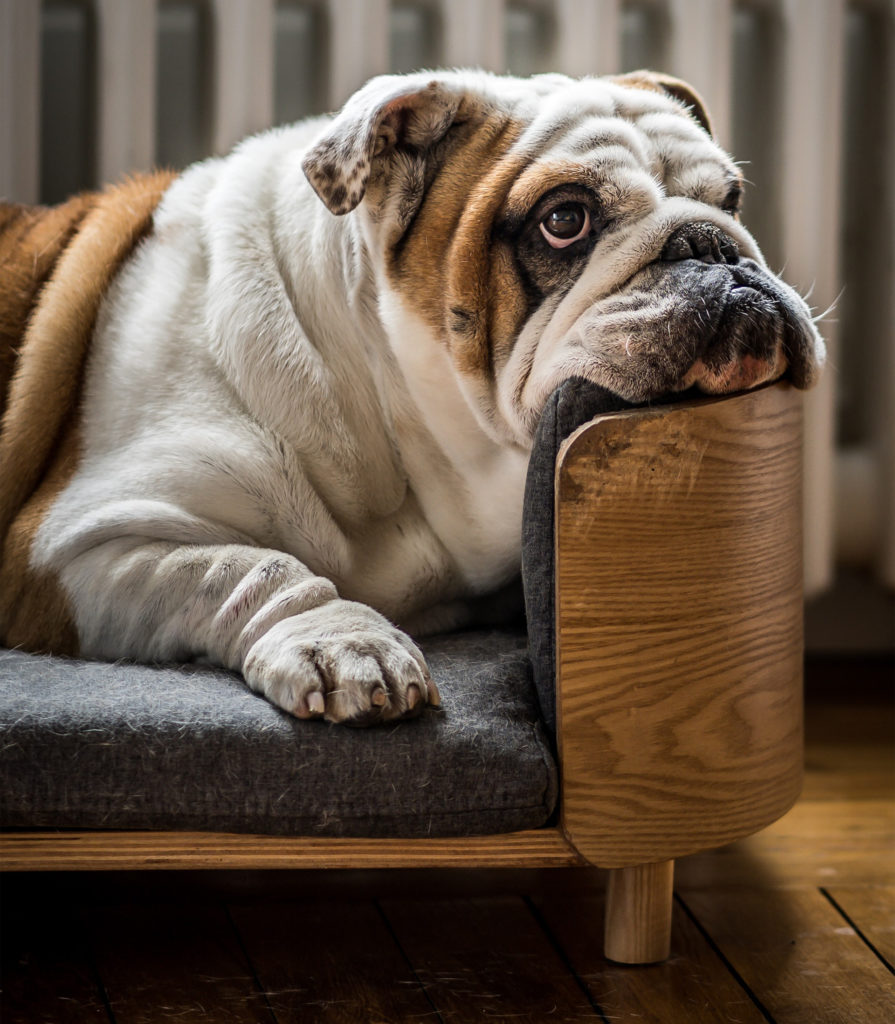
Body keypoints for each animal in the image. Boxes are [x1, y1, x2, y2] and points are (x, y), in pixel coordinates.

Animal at [0, 68, 823, 724]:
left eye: (732, 198)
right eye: (564, 219)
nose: (710, 243)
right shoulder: (71, 548)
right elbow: (244, 568)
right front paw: (345, 644)